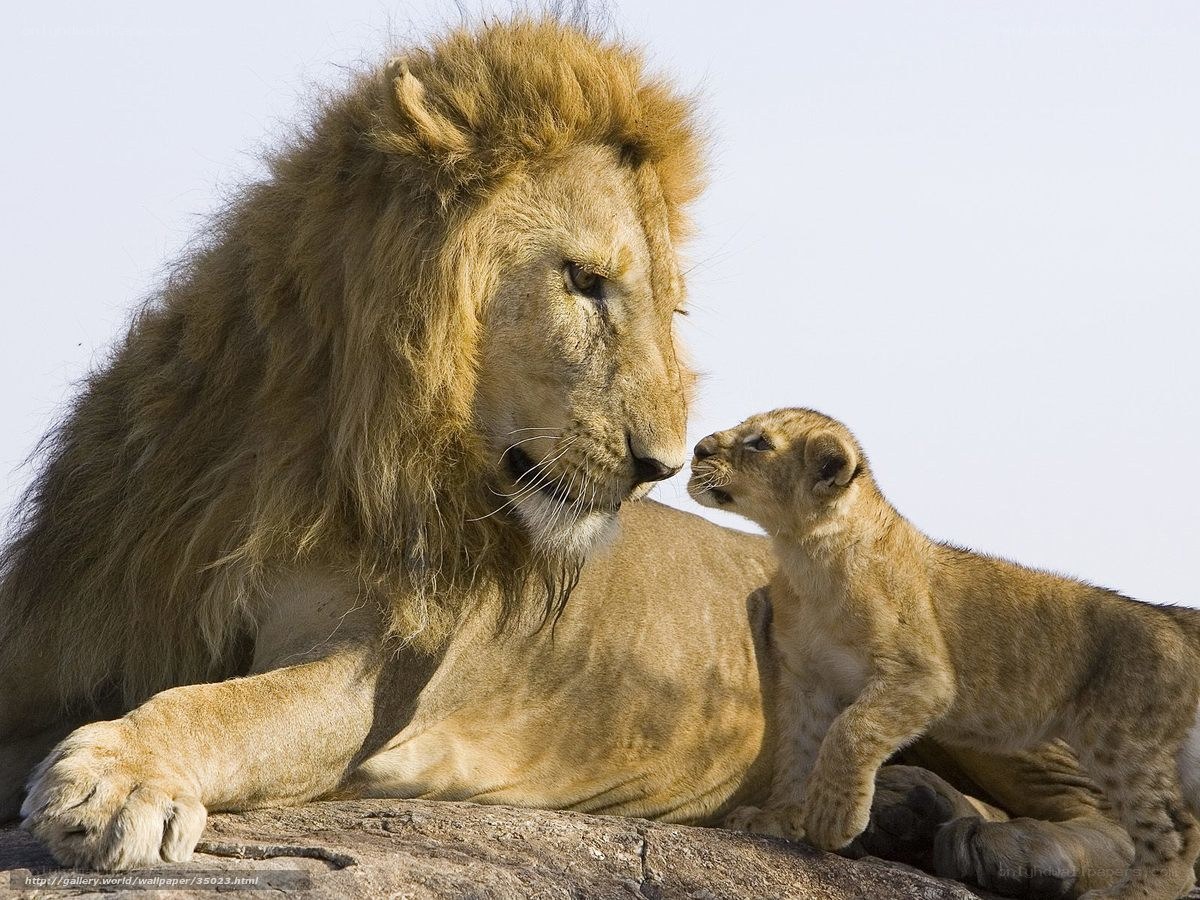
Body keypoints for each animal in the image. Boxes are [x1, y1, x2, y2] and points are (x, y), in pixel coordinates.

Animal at [0, 15, 1133, 895]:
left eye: (672, 309)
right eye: (585, 283)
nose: (662, 465)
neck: (313, 443)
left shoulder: (374, 677)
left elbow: (233, 706)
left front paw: (119, 775)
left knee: (1113, 820)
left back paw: (1012, 846)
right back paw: (896, 810)